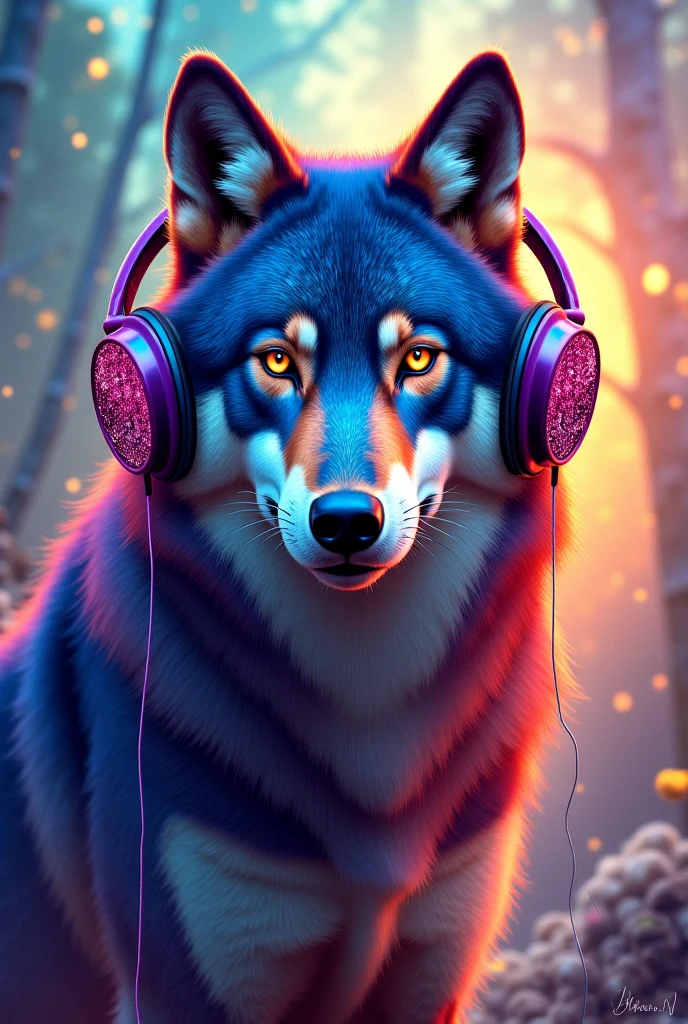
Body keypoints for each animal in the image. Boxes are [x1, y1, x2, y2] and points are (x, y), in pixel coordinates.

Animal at [0, 49, 575, 1024]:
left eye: (418, 357)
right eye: (277, 359)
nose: (346, 521)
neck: (368, 708)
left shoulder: (433, 978)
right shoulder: (185, 987)